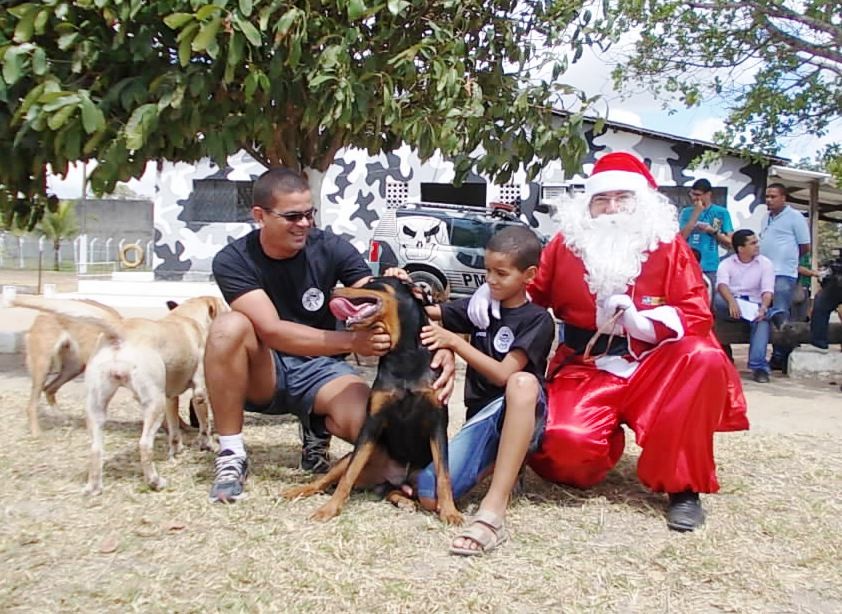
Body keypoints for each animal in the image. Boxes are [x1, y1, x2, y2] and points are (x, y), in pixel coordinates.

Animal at [12, 296, 226, 498]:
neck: (187, 317)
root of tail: (119, 332)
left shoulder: (170, 397)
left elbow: (174, 431)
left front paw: (177, 451)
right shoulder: (199, 391)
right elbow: (204, 425)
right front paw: (210, 445)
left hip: (92, 399)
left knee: (95, 447)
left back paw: (93, 487)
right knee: (144, 444)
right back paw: (154, 481)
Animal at [286, 280, 462, 524]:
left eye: (371, 282)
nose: (332, 290)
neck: (404, 353)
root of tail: (395, 478)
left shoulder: (437, 422)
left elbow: (443, 475)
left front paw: (450, 512)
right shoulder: (372, 423)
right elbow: (348, 475)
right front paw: (329, 509)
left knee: (400, 491)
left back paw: (406, 501)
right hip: (365, 454)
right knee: (329, 478)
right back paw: (298, 490)